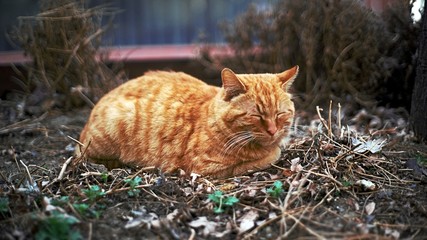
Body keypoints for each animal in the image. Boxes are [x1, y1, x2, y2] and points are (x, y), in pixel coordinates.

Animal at [77, 66, 298, 177]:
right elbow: (272, 155)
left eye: (279, 114)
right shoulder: (207, 168)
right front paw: (274, 150)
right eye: (257, 116)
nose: (272, 130)